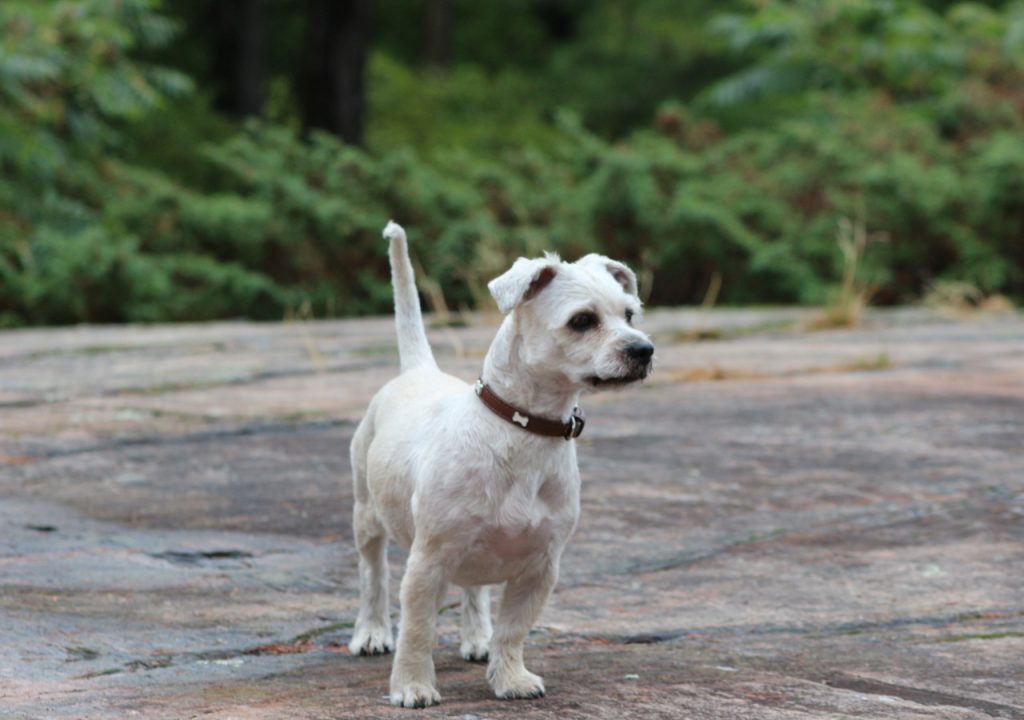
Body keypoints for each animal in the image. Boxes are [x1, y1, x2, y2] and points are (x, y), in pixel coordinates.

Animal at [348, 221, 651, 708]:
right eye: (582, 320)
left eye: (630, 314)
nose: (644, 350)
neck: (523, 430)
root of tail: (418, 370)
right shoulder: (428, 561)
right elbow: (417, 629)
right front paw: (412, 686)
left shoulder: (540, 568)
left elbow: (512, 631)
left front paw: (509, 678)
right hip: (366, 514)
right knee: (372, 575)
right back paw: (372, 633)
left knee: (474, 590)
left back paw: (476, 638)